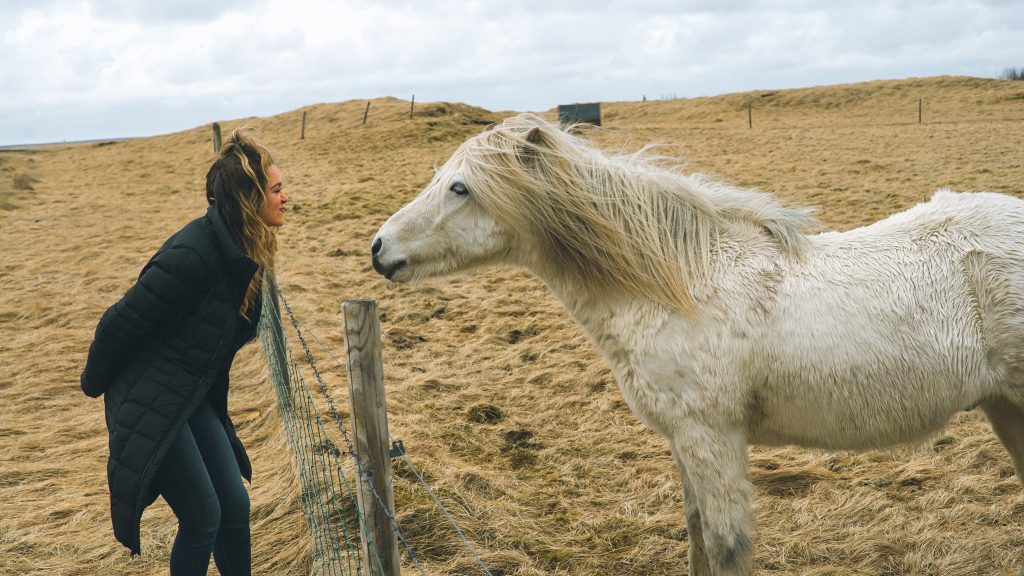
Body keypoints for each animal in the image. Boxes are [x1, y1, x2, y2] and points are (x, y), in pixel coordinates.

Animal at [372, 113, 1024, 573]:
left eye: (460, 188)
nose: (379, 249)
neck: (682, 286)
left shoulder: (710, 437)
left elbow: (725, 545)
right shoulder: (683, 441)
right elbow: (696, 538)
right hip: (1005, 407)